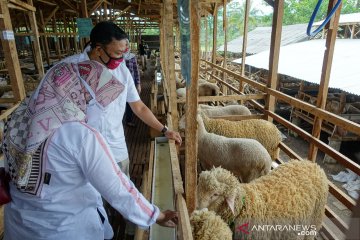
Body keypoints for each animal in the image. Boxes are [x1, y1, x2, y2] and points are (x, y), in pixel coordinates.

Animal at [197, 159, 330, 240]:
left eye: (215, 194)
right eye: (199, 186)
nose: (197, 208)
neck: (246, 206)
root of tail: (313, 164)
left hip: (314, 220)